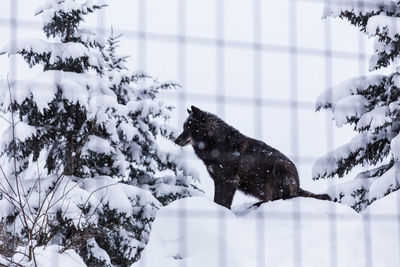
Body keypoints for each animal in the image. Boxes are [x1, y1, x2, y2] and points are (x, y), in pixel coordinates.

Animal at [176, 106, 332, 209]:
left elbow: (223, 202)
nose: (176, 140)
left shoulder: (229, 180)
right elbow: (218, 200)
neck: (216, 145)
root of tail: (298, 185)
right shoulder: (218, 180)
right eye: (184, 127)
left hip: (280, 166)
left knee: (288, 197)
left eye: (188, 127)